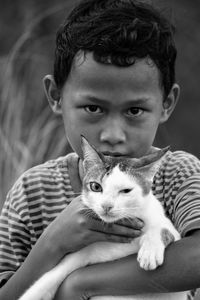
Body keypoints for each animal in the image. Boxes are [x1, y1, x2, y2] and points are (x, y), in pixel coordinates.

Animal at [19, 137, 188, 300]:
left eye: (125, 191)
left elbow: (162, 229)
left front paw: (150, 251)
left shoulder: (170, 230)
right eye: (96, 187)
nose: (106, 205)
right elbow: (45, 282)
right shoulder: (82, 254)